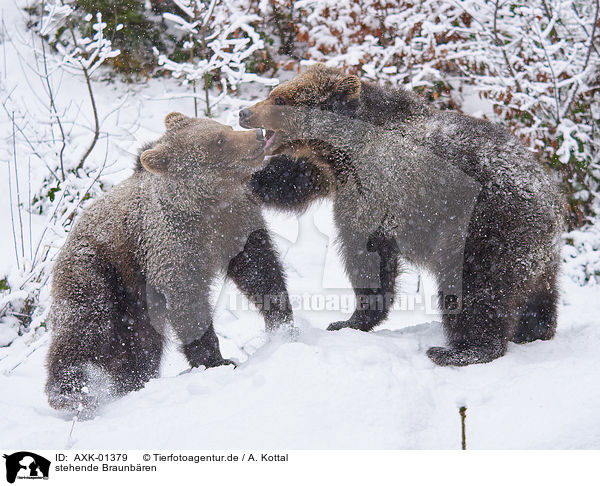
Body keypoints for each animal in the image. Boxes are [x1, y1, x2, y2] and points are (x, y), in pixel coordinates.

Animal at [45, 112, 292, 416]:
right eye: (218, 140)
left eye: (224, 127)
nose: (257, 135)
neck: (208, 207)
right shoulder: (172, 248)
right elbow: (188, 304)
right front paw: (217, 360)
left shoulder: (238, 226)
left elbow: (259, 270)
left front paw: (281, 321)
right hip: (97, 271)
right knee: (84, 326)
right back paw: (69, 392)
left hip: (137, 305)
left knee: (140, 344)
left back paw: (133, 383)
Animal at [239, 65, 564, 368]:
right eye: (274, 91)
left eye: (280, 98)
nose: (244, 112)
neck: (342, 147)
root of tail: (548, 199)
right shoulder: (330, 172)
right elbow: (293, 178)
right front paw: (251, 178)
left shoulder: (375, 188)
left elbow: (366, 256)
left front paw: (349, 320)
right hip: (536, 254)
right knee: (540, 293)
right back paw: (533, 331)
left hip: (484, 228)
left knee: (476, 287)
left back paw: (462, 350)